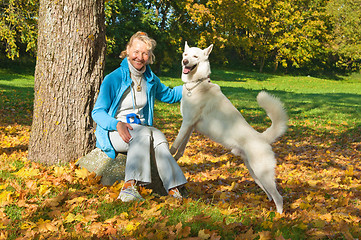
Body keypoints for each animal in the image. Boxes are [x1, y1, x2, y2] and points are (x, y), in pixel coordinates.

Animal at [169, 41, 286, 214]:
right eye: (185, 55)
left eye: (195, 56)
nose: (185, 62)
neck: (196, 84)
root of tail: (262, 137)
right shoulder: (190, 126)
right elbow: (181, 147)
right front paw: (176, 159)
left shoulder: (187, 123)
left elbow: (175, 144)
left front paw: (168, 154)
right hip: (255, 174)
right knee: (270, 194)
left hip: (262, 173)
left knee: (279, 198)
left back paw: (278, 217)